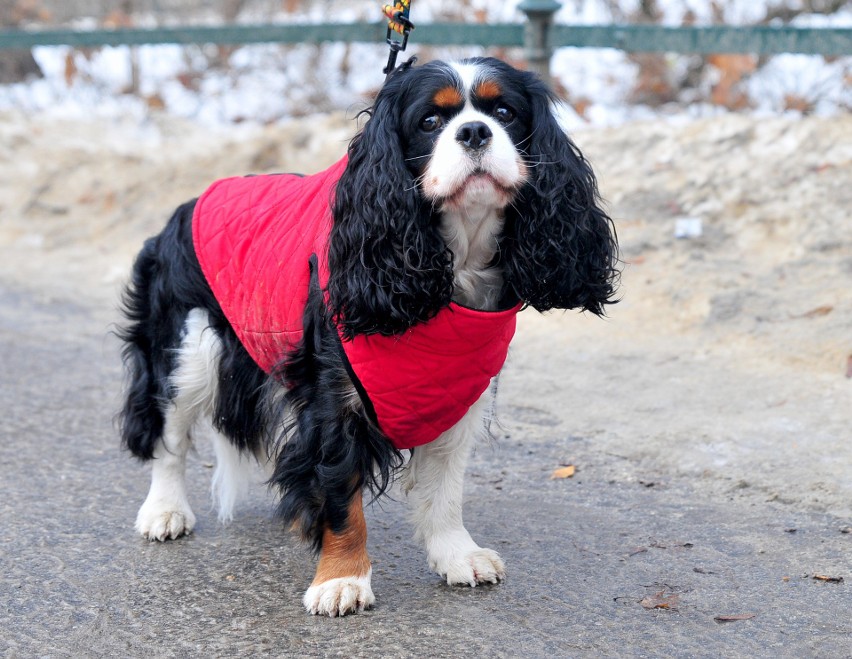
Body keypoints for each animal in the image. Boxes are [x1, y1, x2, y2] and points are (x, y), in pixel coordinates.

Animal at [118, 58, 620, 620]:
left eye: (506, 112)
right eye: (429, 121)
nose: (474, 131)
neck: (451, 259)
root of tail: (189, 203)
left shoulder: (457, 388)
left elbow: (445, 487)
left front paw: (456, 554)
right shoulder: (335, 400)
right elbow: (343, 498)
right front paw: (342, 579)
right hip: (188, 348)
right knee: (170, 435)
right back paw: (164, 511)